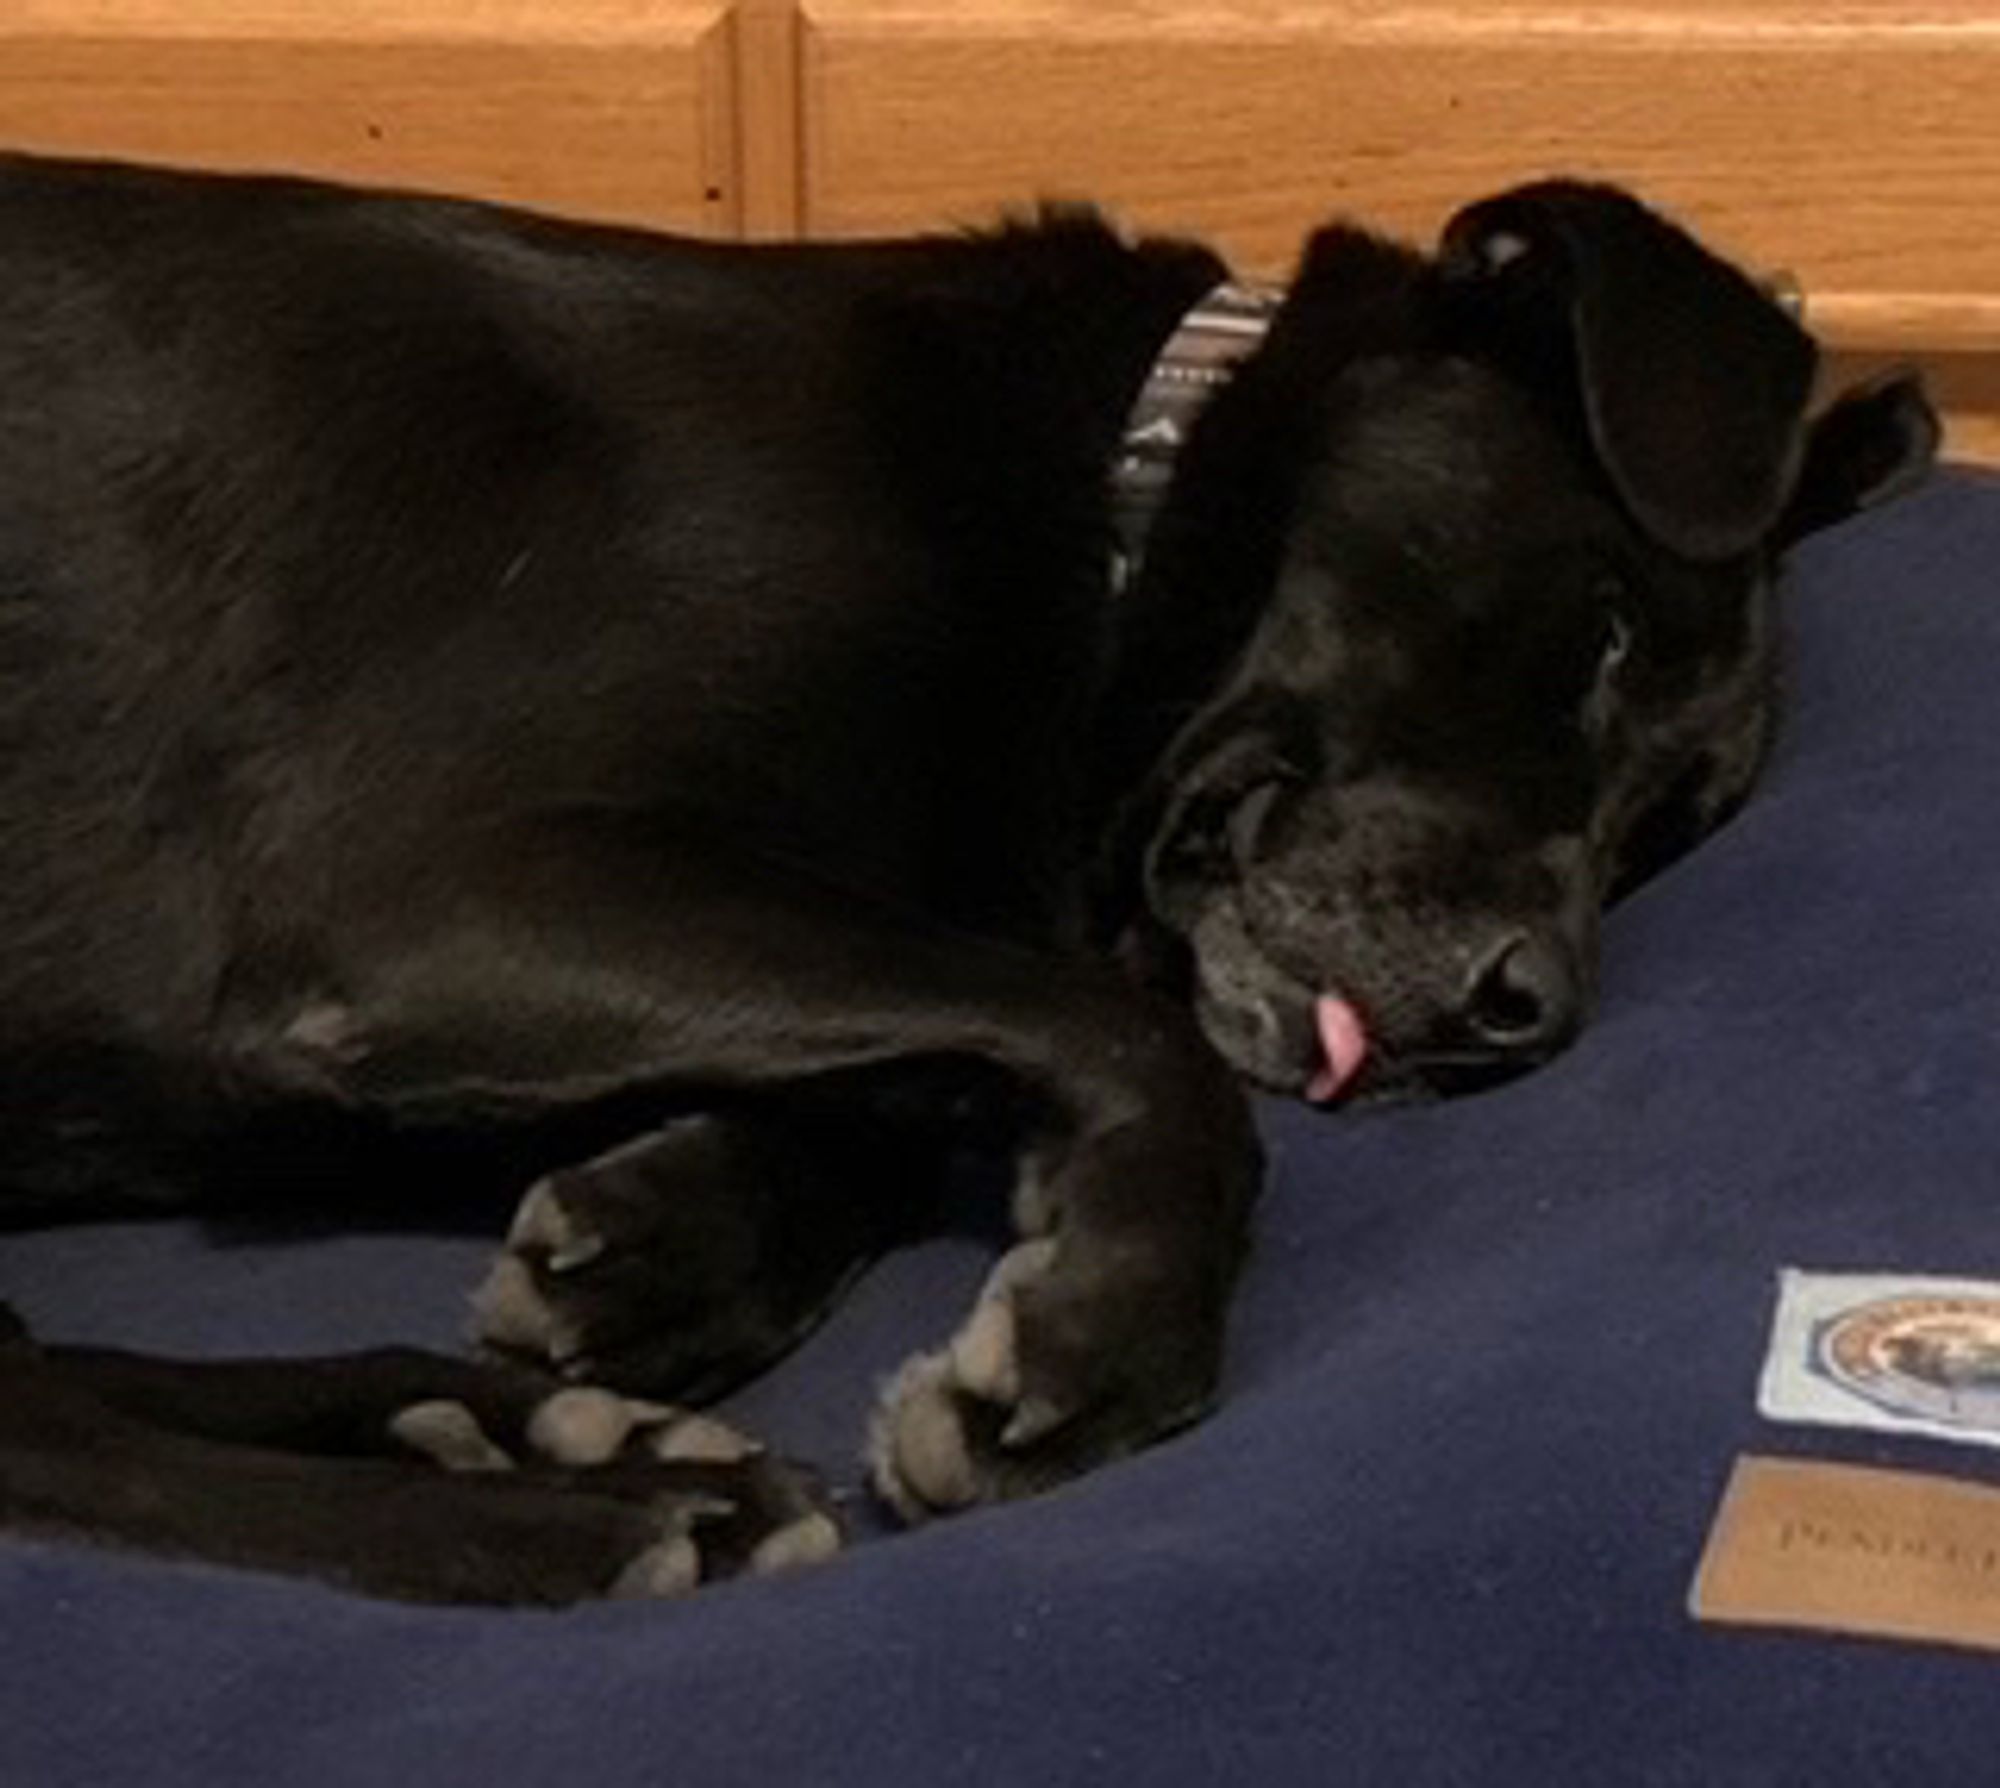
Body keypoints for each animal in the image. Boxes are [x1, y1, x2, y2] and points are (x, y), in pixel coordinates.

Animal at [0, 154, 1936, 1608]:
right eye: (1596, 634)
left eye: (1664, 830)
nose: (1526, 1012)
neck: (1105, 507)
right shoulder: (435, 884)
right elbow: (1102, 1025)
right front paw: (1109, 1329)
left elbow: (939, 1050)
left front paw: (673, 1244)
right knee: (56, 1443)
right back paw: (589, 1524)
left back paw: (498, 1426)